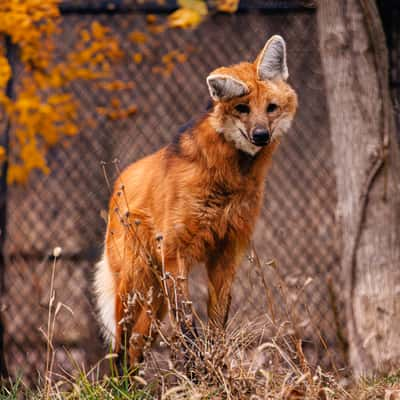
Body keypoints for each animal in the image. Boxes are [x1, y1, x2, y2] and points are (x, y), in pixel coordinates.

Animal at [95, 35, 296, 368]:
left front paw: (218, 369)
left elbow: (217, 324)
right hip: (136, 283)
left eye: (271, 108)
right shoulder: (175, 255)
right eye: (242, 108)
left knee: (138, 344)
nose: (260, 135)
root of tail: (119, 183)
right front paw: (198, 371)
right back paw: (117, 380)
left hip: (156, 300)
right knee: (121, 345)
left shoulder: (227, 252)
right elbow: (188, 327)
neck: (230, 179)